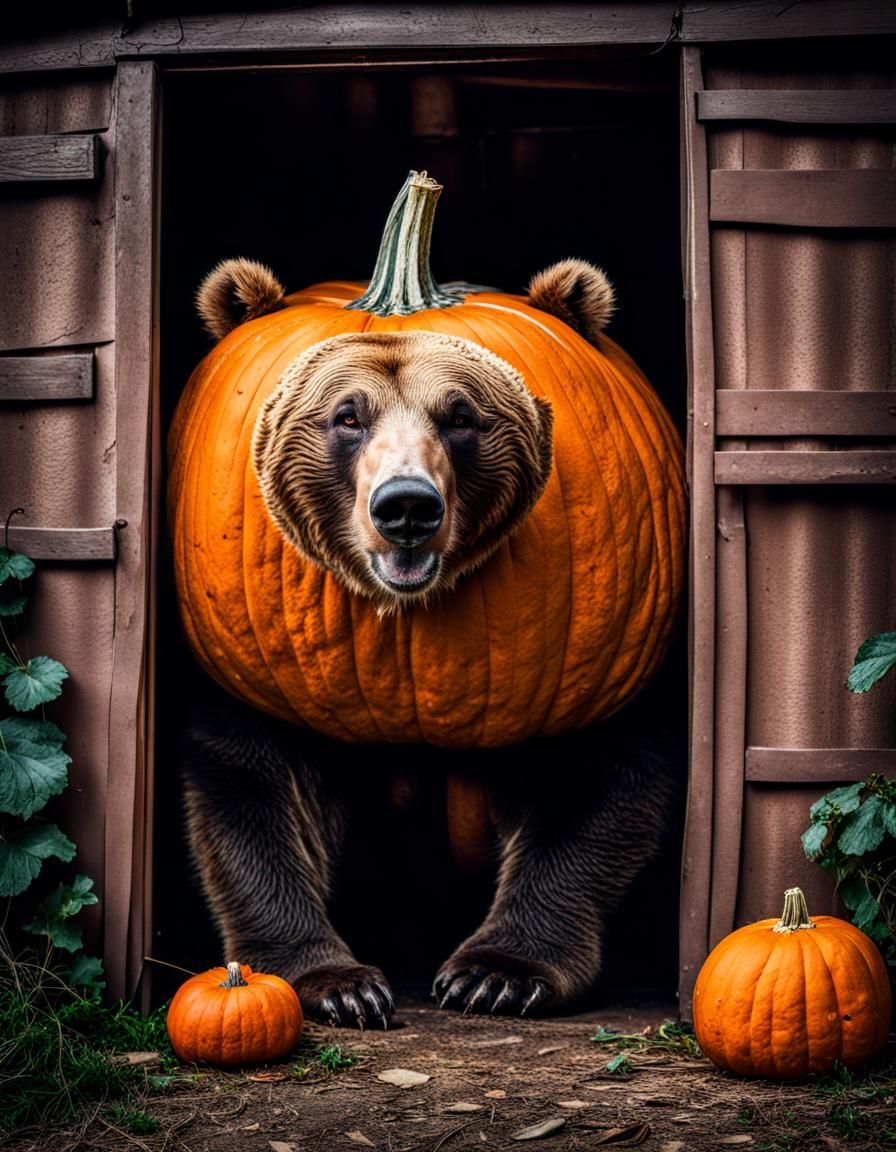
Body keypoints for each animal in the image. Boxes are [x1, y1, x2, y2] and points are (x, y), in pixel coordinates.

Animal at [171, 250, 684, 1029]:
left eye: (461, 416)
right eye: (347, 416)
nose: (406, 506)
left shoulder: (602, 651)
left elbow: (595, 791)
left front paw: (496, 974)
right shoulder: (255, 663)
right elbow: (249, 795)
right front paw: (337, 983)